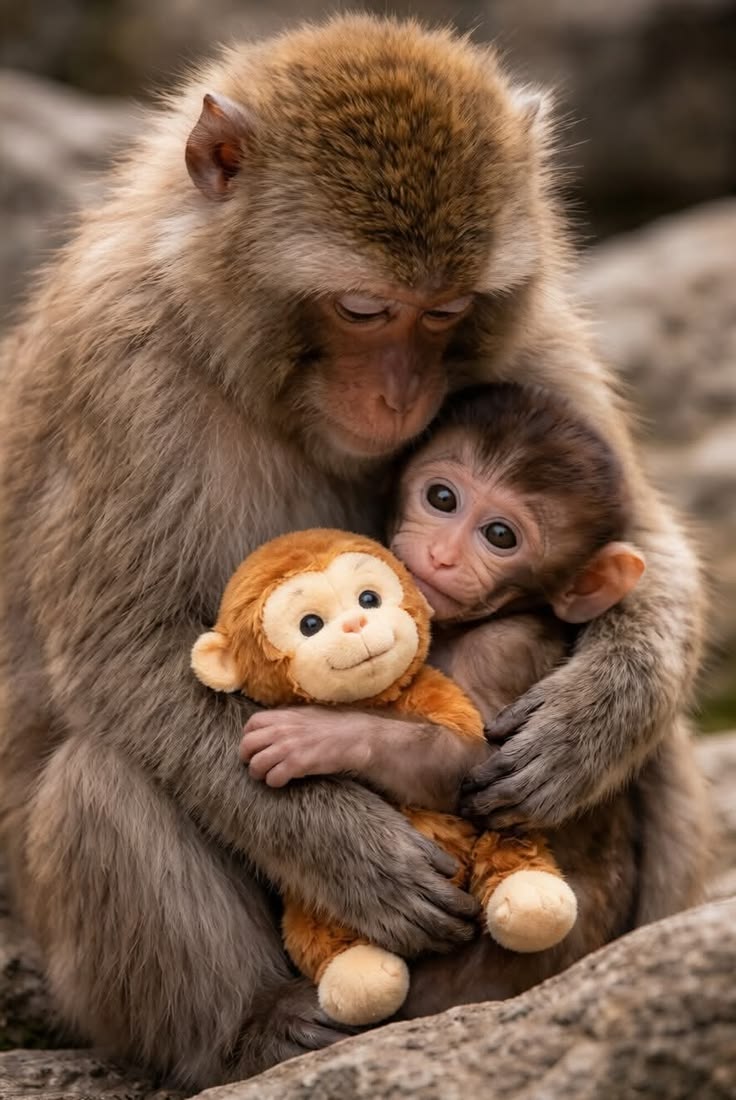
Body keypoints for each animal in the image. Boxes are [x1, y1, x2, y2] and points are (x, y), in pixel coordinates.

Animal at [0, 14, 709, 1089]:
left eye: (448, 310)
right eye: (365, 308)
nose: (399, 395)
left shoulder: (531, 328)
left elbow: (645, 543)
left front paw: (590, 720)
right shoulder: (121, 365)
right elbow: (123, 653)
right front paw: (349, 854)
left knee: (657, 742)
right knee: (102, 781)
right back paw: (249, 1032)